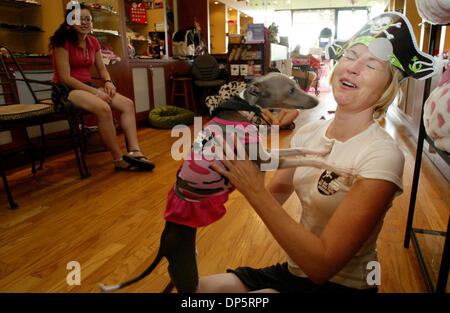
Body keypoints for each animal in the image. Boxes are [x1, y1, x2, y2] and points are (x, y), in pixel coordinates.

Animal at [99, 72, 356, 292]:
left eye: (295, 84)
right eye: (290, 89)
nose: (316, 100)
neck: (244, 109)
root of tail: (164, 241)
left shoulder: (269, 154)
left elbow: (301, 149)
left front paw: (324, 149)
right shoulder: (267, 160)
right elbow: (306, 159)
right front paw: (338, 167)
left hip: (183, 269)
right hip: (187, 273)